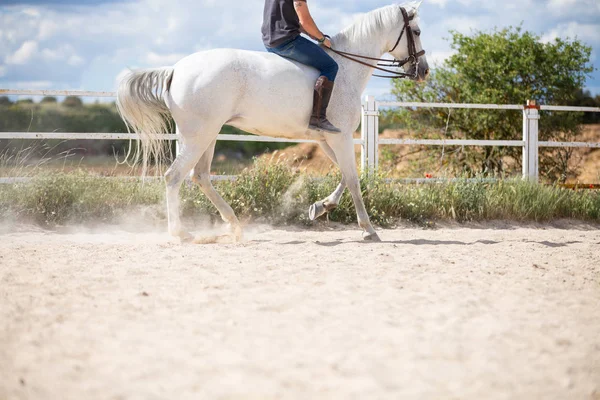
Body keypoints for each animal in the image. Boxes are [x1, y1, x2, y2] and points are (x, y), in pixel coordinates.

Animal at [116, 1, 426, 242]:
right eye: (417, 31)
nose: (423, 70)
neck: (347, 68)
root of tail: (175, 69)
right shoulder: (341, 137)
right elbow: (352, 180)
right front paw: (368, 229)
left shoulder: (327, 139)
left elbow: (344, 176)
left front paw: (321, 207)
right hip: (199, 137)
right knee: (174, 177)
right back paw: (182, 233)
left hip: (205, 136)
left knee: (200, 176)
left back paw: (234, 225)